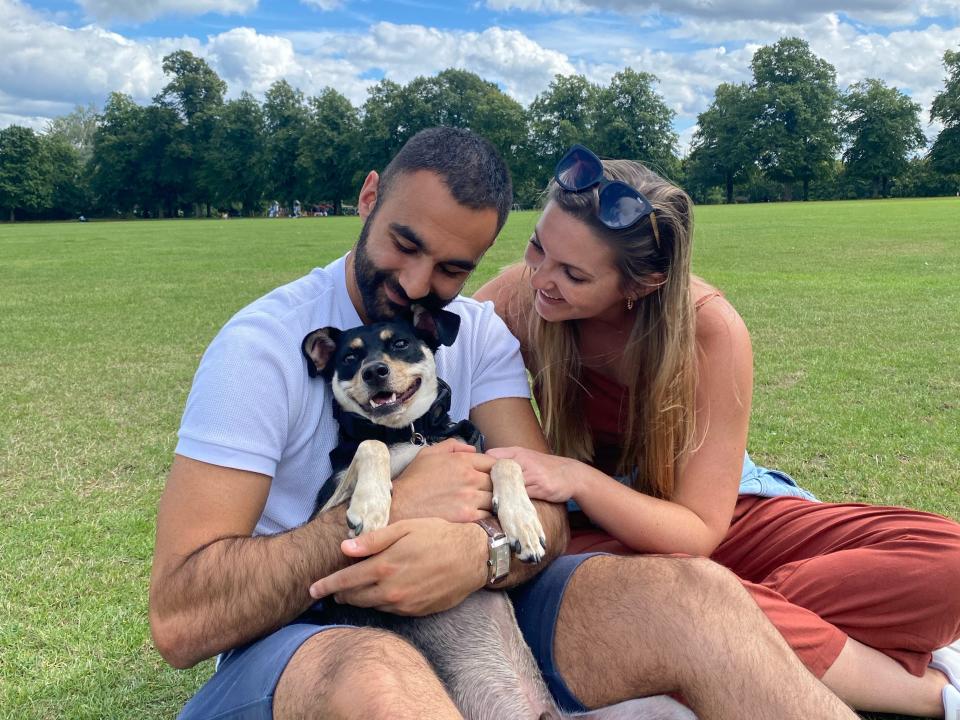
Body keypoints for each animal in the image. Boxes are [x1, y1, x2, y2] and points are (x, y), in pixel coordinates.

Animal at [298, 306, 688, 720]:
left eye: (400, 343)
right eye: (349, 358)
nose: (374, 371)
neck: (415, 434)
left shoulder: (475, 457)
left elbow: (506, 462)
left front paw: (523, 523)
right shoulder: (327, 508)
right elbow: (371, 445)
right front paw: (371, 506)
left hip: (667, 709)